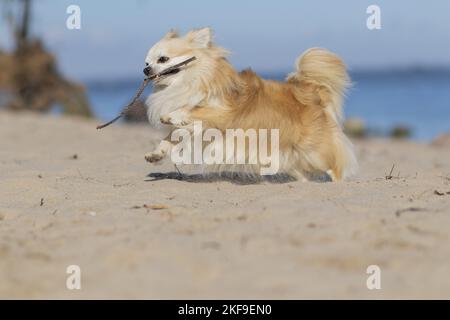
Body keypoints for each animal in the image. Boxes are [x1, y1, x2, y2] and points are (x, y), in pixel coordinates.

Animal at [142, 28, 356, 181]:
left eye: (163, 59)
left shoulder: (223, 114)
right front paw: (157, 154)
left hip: (316, 153)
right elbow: (170, 138)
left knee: (335, 168)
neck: (189, 81)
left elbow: (193, 110)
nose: (146, 70)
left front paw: (171, 115)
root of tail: (310, 91)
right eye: (146, 62)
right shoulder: (197, 130)